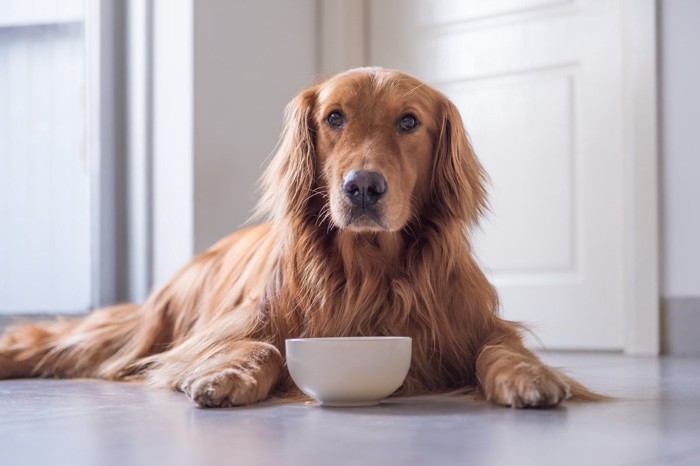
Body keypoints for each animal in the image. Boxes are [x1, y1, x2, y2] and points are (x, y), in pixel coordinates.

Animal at [1, 66, 600, 408]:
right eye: (334, 117)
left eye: (409, 122)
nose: (363, 187)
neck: (370, 270)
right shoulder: (228, 330)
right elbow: (263, 345)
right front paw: (229, 375)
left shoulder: (475, 325)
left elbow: (497, 350)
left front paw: (528, 376)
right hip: (146, 329)